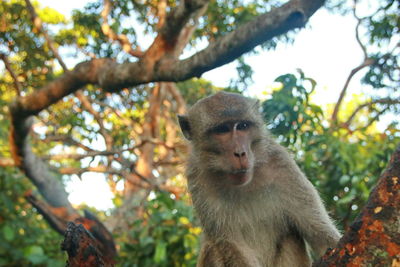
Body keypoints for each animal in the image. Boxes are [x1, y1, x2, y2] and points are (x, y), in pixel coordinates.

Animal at [178, 92, 340, 267]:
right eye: (222, 130)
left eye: (242, 126)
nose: (240, 153)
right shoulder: (198, 178)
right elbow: (230, 242)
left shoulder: (283, 165)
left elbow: (321, 235)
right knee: (213, 248)